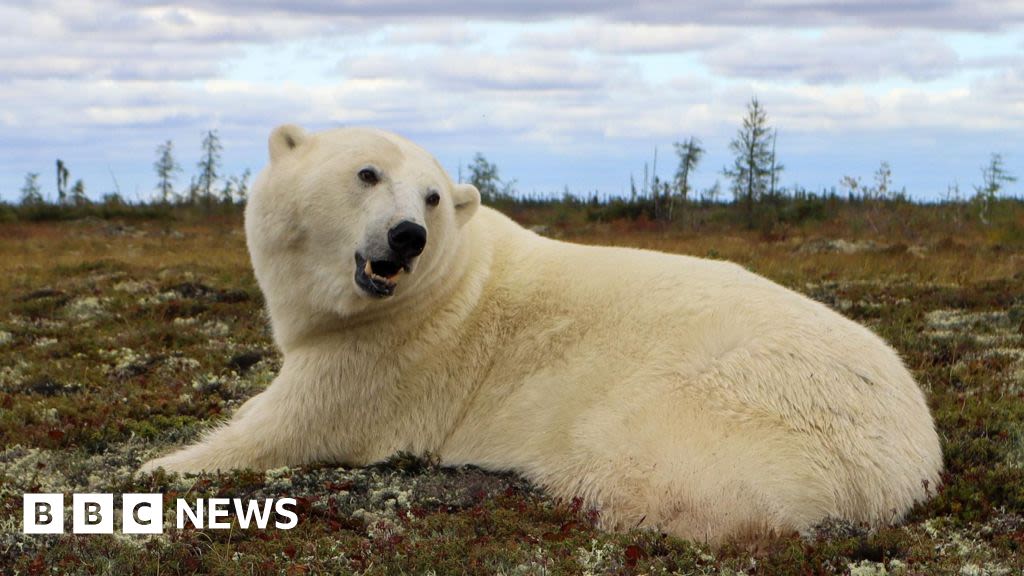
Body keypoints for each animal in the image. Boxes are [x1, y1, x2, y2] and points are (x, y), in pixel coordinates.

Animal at [140, 124, 937, 541]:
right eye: (366, 173)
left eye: (432, 195)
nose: (407, 235)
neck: (449, 280)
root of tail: (912, 463)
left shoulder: (390, 351)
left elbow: (288, 423)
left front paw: (161, 465)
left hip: (721, 406)